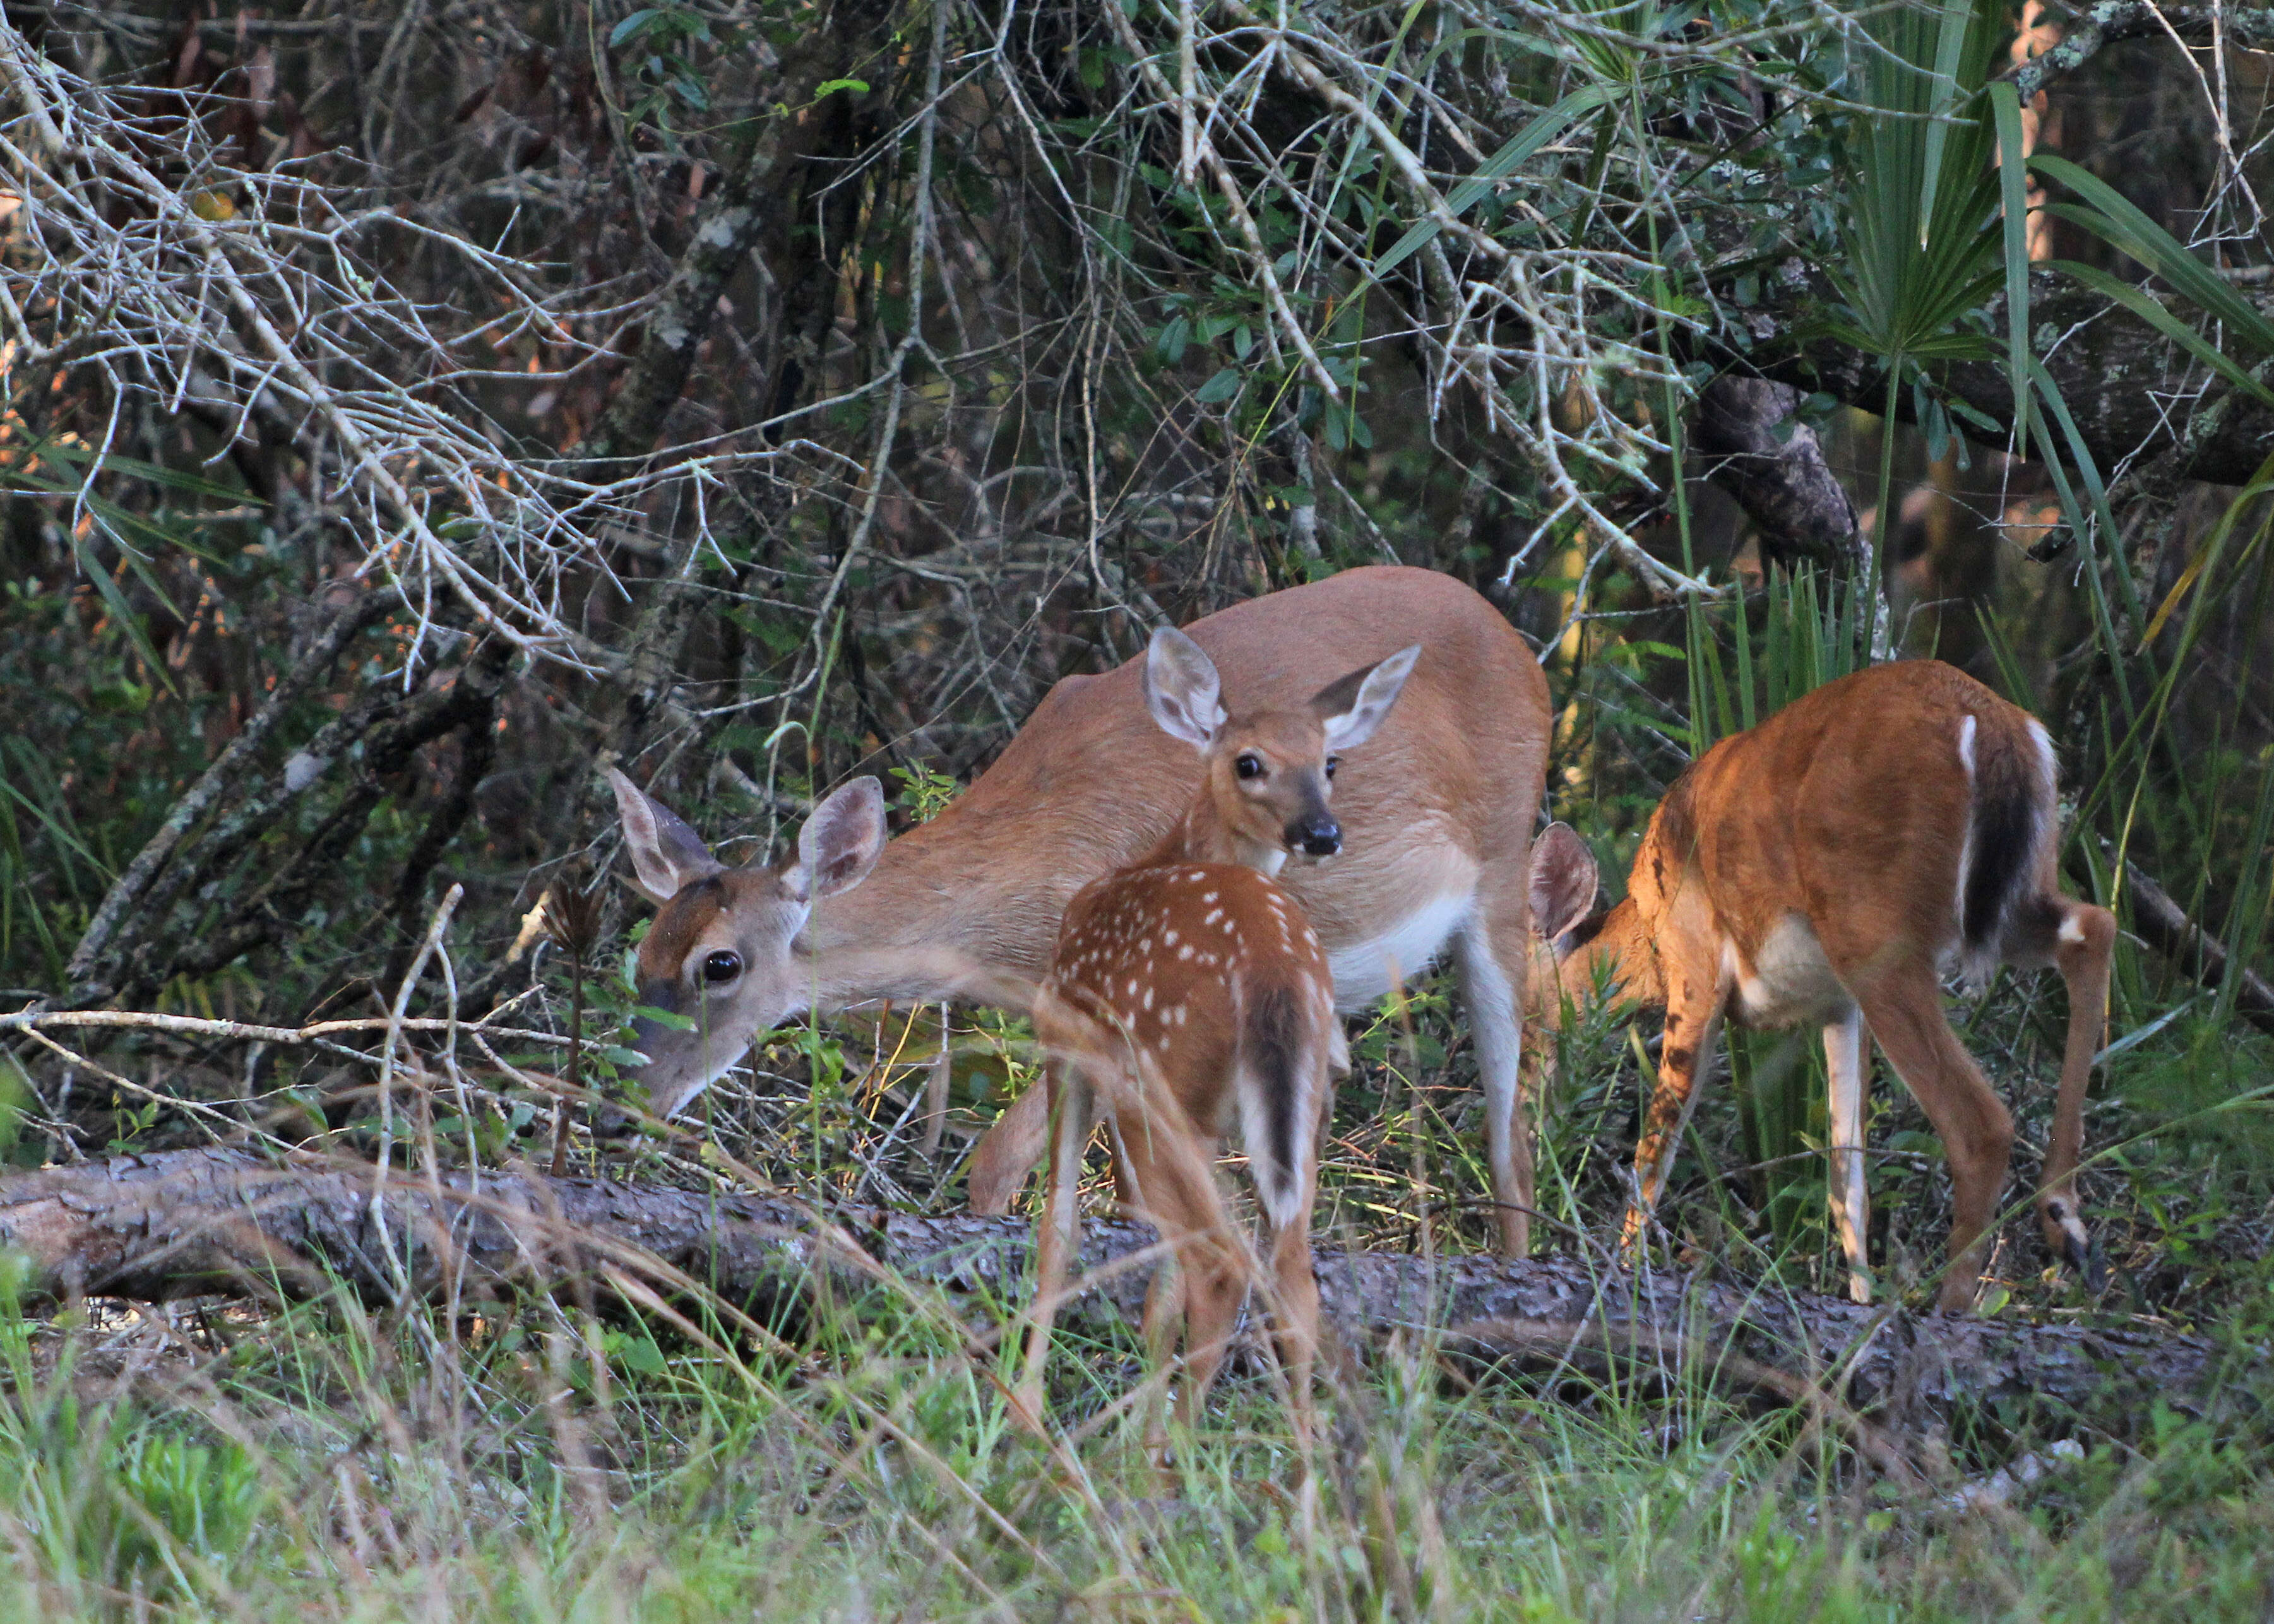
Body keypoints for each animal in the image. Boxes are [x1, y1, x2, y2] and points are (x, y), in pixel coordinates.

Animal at [609, 566, 1564, 1255]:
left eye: (721, 963)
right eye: (642, 954)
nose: (624, 1100)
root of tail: (1516, 643)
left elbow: (999, 1163)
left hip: (1503, 872)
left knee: (1510, 1133)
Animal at [1018, 627, 1410, 1437]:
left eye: (1329, 762)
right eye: (1248, 761)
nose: (1320, 832)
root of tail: (1271, 974)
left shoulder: (1065, 1043)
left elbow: (1058, 1229)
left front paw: (1025, 1412)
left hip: (1165, 1090)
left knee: (1218, 1264)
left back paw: (1164, 1453)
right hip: (1304, 1103)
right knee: (1288, 1274)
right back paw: (1294, 1457)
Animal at [1519, 655, 2119, 1301]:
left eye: (1514, 1004)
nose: (1520, 1111)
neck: (1648, 927)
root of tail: (1991, 722)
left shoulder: (1697, 970)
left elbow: (1654, 1150)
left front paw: (1622, 1268)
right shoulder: (1837, 1005)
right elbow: (1847, 1184)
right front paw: (1858, 1294)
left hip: (1876, 932)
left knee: (1980, 1124)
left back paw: (1951, 1304)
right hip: (2008, 896)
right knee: (2093, 925)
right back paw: (2067, 1223)